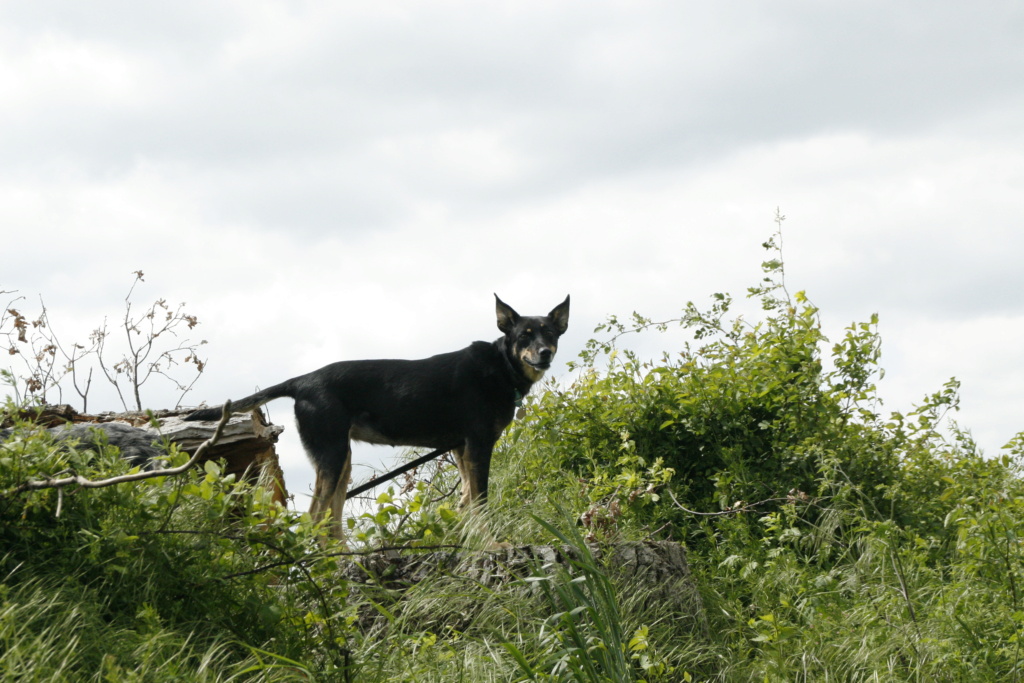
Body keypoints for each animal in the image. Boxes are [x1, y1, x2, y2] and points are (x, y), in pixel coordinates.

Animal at [184, 294, 569, 540]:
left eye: (550, 333)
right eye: (524, 336)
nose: (545, 353)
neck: (501, 366)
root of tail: (302, 381)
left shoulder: (462, 448)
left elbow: (466, 499)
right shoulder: (479, 444)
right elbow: (480, 501)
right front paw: (490, 543)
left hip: (341, 462)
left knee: (330, 519)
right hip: (333, 455)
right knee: (316, 516)